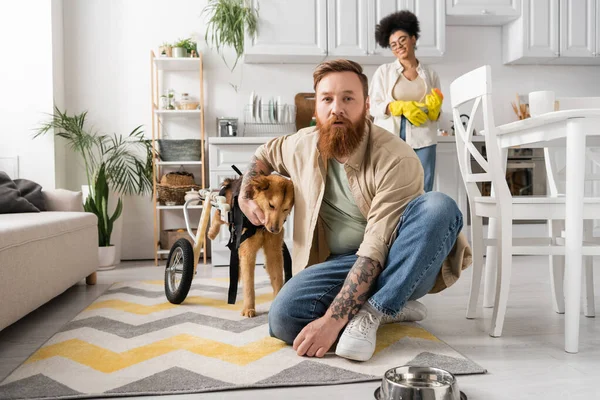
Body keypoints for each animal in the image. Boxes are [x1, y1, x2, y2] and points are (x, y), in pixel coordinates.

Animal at [209, 173, 296, 318]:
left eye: (285, 209)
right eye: (271, 205)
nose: (274, 230)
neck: (261, 227)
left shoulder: (274, 253)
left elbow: (277, 278)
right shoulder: (248, 253)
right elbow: (249, 284)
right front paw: (248, 308)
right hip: (226, 211)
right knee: (218, 215)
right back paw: (211, 232)